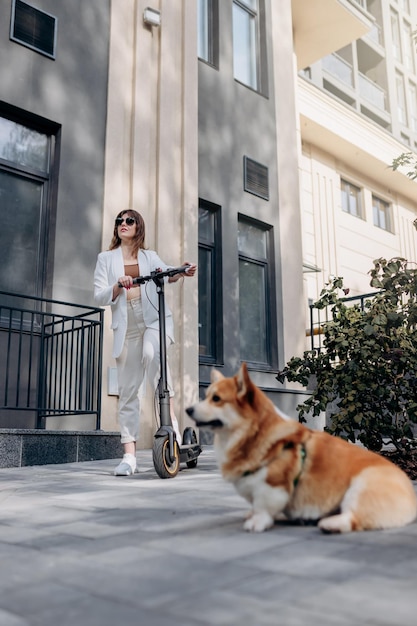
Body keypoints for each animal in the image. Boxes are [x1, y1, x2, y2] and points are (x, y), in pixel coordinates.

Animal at [186, 360, 416, 532]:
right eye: (206, 397)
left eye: (216, 399)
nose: (188, 409)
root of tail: (410, 495)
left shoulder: (273, 486)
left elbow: (263, 506)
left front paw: (256, 521)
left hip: (360, 486)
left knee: (354, 518)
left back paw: (329, 523)